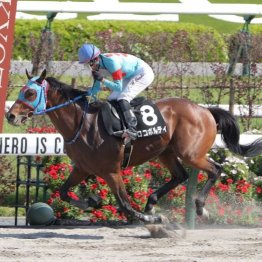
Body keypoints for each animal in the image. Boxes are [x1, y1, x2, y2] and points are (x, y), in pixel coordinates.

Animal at [6, 69, 262, 223]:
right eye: (21, 91)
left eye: (30, 93)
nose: (11, 115)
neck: (82, 124)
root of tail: (204, 110)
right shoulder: (82, 168)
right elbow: (63, 191)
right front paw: (91, 200)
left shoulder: (111, 170)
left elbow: (125, 204)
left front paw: (151, 220)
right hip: (166, 152)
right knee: (180, 175)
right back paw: (151, 203)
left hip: (191, 153)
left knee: (215, 169)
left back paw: (200, 207)